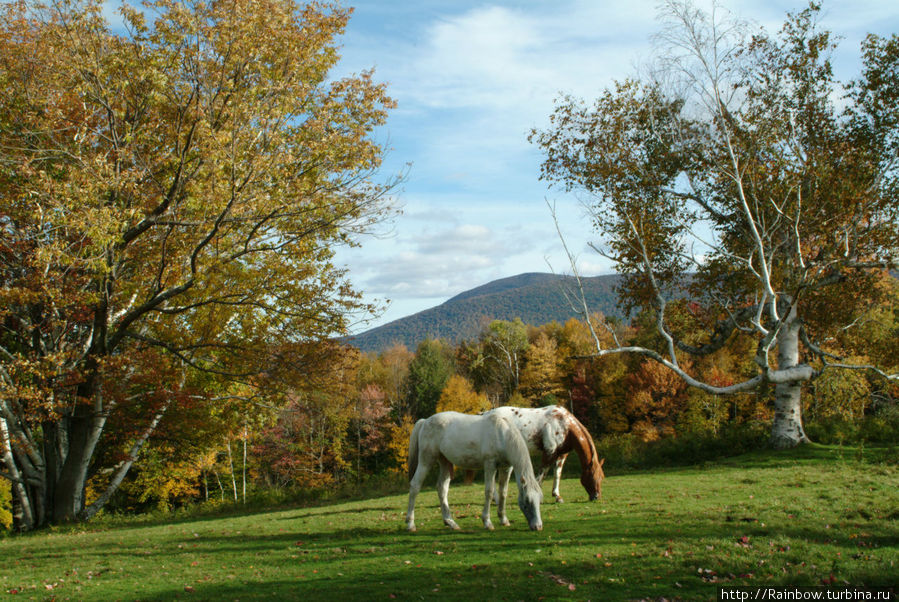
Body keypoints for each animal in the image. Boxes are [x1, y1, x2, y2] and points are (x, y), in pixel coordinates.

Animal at [406, 410, 540, 532]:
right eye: (527, 502)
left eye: (539, 500)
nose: (538, 526)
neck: (501, 434)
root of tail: (425, 421)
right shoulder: (490, 465)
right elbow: (489, 492)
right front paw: (487, 522)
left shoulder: (506, 468)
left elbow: (503, 492)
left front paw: (503, 519)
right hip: (426, 460)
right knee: (415, 486)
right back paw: (410, 524)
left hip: (445, 462)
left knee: (442, 488)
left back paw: (450, 522)